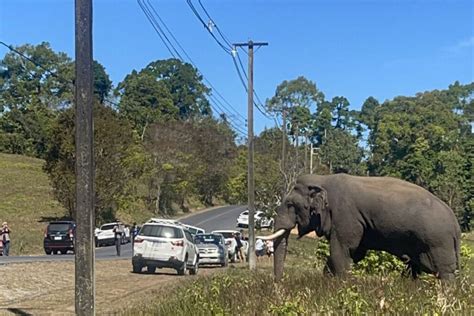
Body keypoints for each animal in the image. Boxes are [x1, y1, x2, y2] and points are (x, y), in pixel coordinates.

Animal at [262, 174, 462, 280]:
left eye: (290, 204)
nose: (278, 284)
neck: (324, 179)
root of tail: (456, 224)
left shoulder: (345, 217)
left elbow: (342, 252)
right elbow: (351, 254)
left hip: (438, 241)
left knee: (444, 271)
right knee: (415, 268)